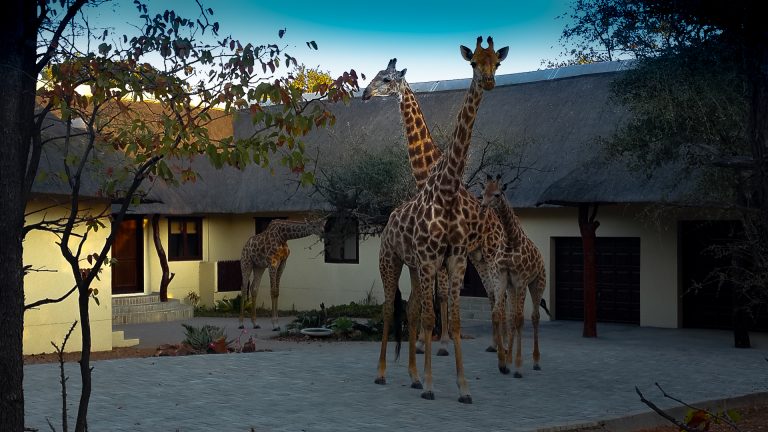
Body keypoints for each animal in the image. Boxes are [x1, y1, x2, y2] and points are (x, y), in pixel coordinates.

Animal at [375, 37, 509, 403]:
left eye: (496, 63)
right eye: (473, 62)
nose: (365, 93)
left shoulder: (451, 257)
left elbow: (443, 311)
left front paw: (455, 377)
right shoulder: (430, 259)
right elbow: (429, 311)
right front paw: (432, 375)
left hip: (488, 257)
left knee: (498, 299)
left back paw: (504, 358)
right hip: (409, 260)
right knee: (394, 308)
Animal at [480, 174, 548, 378]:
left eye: (497, 194)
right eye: (482, 192)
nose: (483, 206)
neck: (510, 240)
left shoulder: (521, 281)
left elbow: (520, 319)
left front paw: (518, 367)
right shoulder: (502, 279)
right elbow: (500, 315)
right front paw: (503, 363)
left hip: (537, 283)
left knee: (534, 317)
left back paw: (535, 361)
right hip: (513, 288)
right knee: (511, 318)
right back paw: (510, 358)